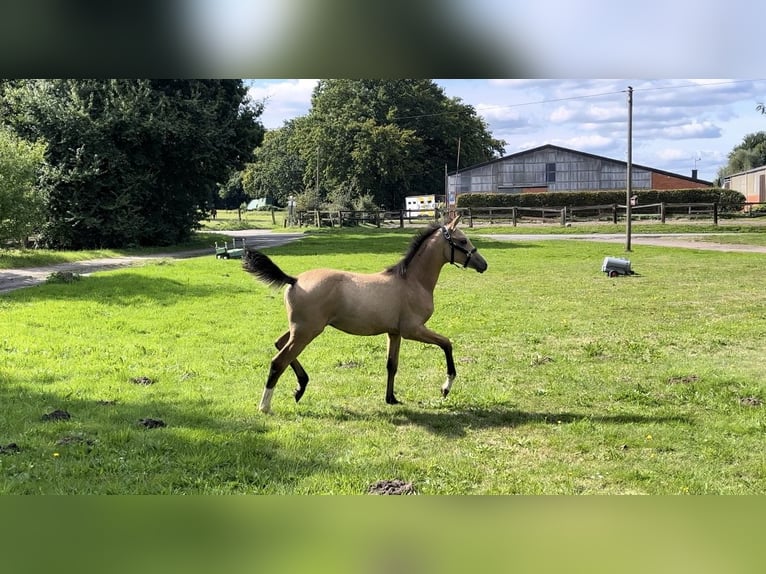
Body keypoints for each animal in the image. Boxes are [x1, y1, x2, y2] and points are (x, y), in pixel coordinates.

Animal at [243, 216, 488, 414]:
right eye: (462, 241)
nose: (483, 264)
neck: (412, 282)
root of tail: (294, 280)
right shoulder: (413, 330)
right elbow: (447, 344)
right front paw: (445, 388)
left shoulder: (394, 333)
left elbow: (392, 365)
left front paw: (391, 398)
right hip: (307, 332)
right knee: (278, 361)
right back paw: (265, 406)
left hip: (300, 330)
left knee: (279, 343)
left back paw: (300, 387)